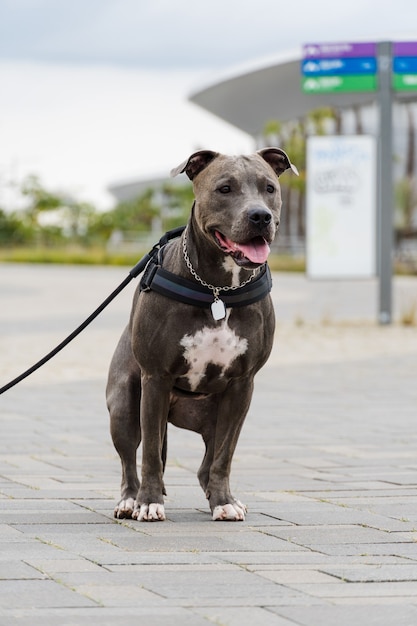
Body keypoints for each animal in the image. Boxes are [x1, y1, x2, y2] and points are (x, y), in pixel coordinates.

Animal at [105, 149, 298, 520]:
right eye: (225, 188)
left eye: (269, 187)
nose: (260, 216)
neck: (217, 289)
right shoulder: (156, 377)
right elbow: (150, 454)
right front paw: (149, 502)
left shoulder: (242, 385)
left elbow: (224, 455)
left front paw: (223, 502)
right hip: (125, 404)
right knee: (130, 458)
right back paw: (130, 499)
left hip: (213, 414)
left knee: (206, 464)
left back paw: (222, 496)